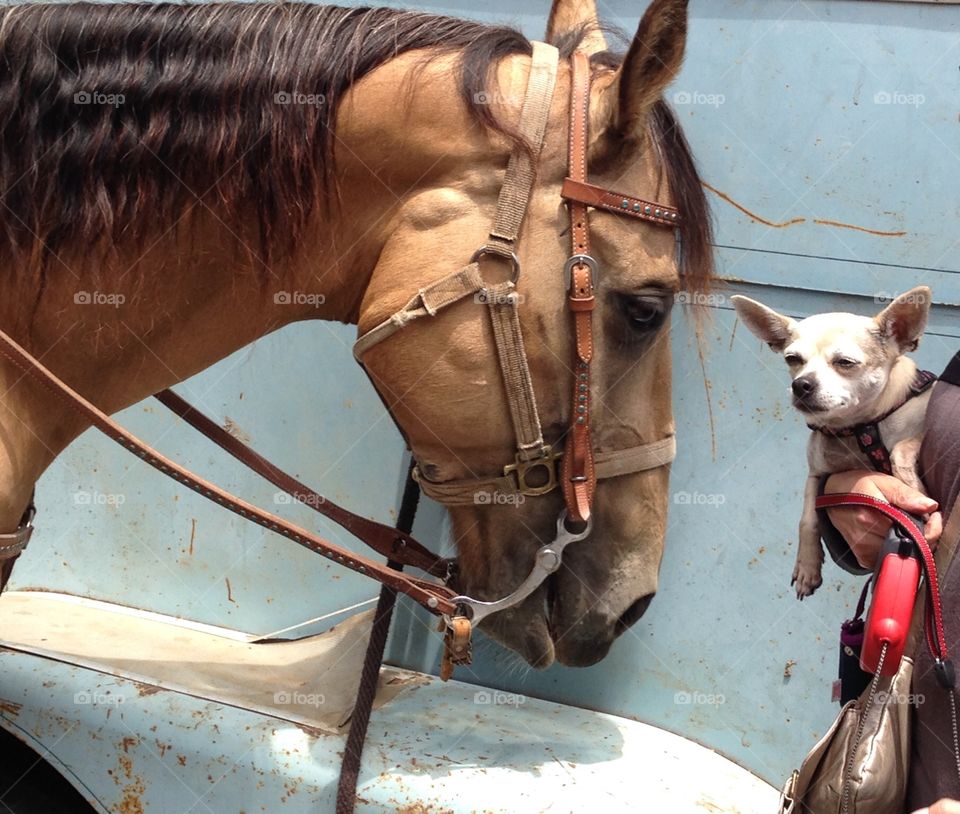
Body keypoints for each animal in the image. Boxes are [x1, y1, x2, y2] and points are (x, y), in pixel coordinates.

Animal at [732, 288, 932, 600]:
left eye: (845, 362)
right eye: (792, 359)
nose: (801, 384)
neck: (854, 430)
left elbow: (902, 448)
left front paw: (913, 486)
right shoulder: (817, 475)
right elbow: (807, 518)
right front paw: (807, 565)